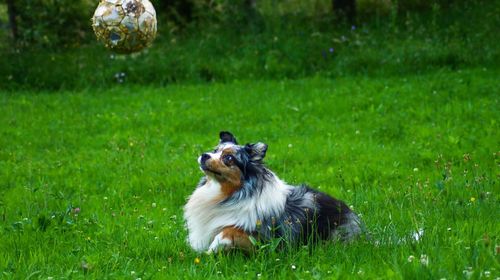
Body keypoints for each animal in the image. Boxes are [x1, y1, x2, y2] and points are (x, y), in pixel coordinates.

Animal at [184, 132, 364, 254]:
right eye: (215, 150)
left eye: (228, 158)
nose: (204, 155)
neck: (230, 194)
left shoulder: (265, 239)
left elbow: (228, 231)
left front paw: (212, 249)